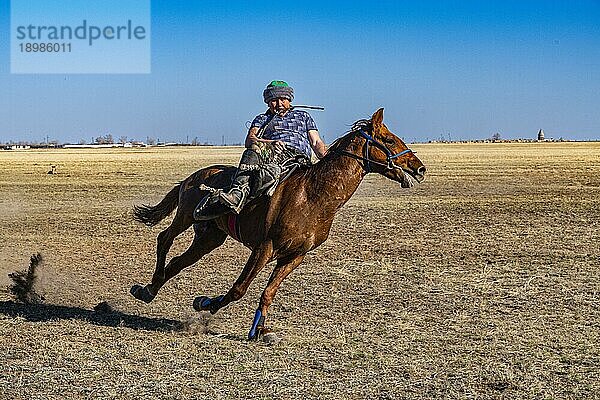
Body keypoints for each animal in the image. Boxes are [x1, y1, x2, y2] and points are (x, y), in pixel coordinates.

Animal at [131, 108, 424, 340]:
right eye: (389, 139)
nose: (419, 168)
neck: (313, 195)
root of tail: (193, 176)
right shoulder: (264, 247)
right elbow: (239, 289)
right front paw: (206, 303)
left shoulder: (294, 256)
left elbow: (268, 292)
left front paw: (260, 330)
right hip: (187, 215)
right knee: (165, 238)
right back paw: (149, 285)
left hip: (210, 237)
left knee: (178, 263)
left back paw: (148, 291)